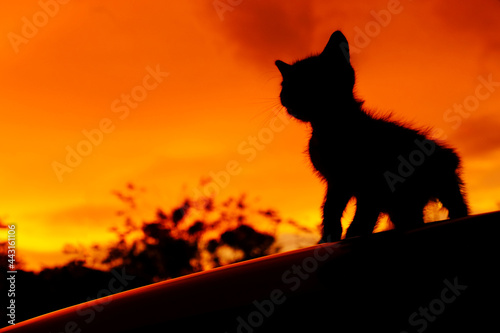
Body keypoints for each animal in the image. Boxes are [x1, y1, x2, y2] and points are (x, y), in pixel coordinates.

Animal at [278, 31, 468, 241]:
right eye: (287, 86)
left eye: (312, 78)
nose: (289, 100)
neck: (330, 127)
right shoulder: (337, 182)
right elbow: (330, 208)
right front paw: (328, 237)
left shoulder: (373, 181)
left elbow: (365, 210)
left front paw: (354, 233)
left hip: (442, 181)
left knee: (458, 207)